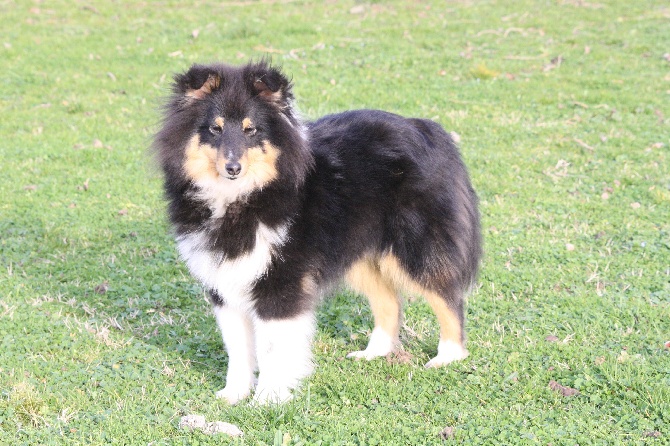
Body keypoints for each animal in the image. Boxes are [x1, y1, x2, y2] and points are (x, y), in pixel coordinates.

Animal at [156, 60, 484, 404]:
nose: (233, 168)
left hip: (415, 246)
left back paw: (447, 356)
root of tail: (429, 129)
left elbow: (272, 348)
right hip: (359, 251)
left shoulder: (279, 280)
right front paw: (233, 395)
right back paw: (373, 353)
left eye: (251, 130)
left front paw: (268, 398)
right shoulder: (224, 282)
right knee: (389, 301)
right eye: (215, 129)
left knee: (447, 297)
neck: (241, 197)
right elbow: (237, 347)